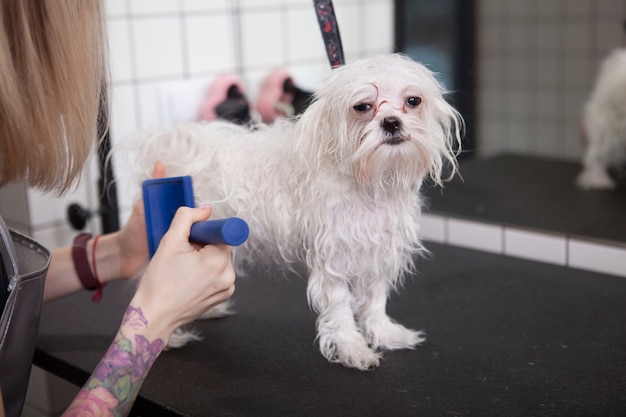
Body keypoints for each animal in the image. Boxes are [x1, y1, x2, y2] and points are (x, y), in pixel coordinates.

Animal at [133, 53, 464, 368]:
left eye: (413, 101)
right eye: (362, 106)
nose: (392, 122)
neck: (367, 182)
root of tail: (173, 143)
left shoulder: (378, 252)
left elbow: (374, 300)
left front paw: (383, 333)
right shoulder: (333, 257)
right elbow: (340, 307)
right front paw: (351, 348)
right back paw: (169, 335)